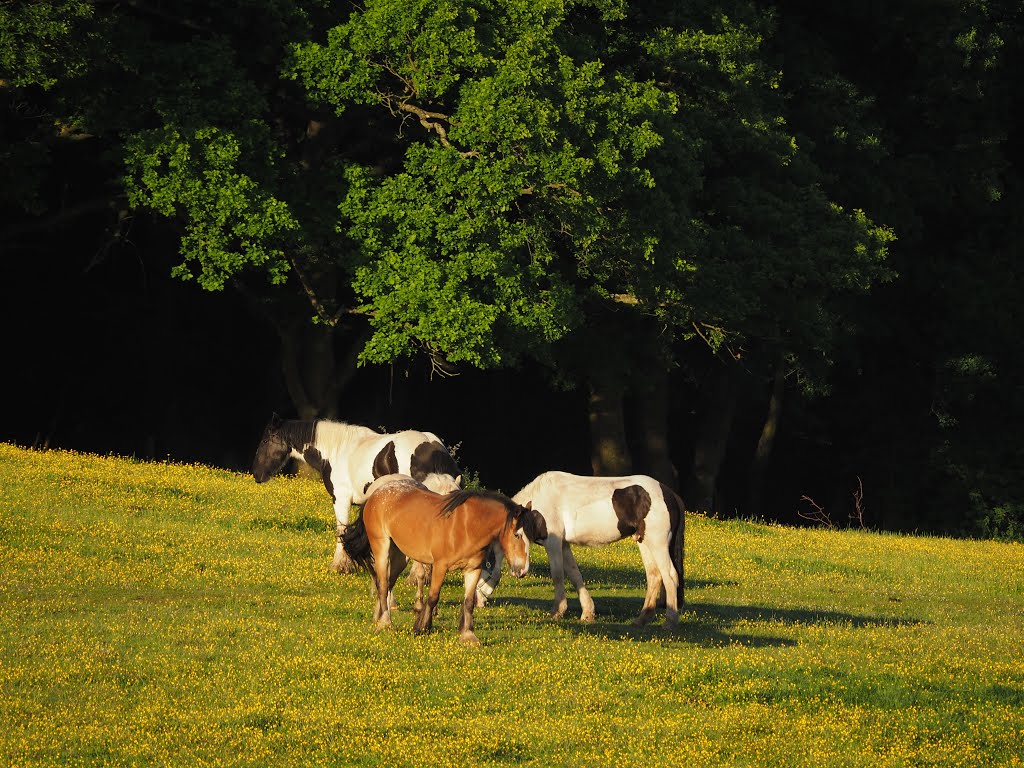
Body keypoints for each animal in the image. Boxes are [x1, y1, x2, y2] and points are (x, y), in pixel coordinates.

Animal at [249, 411, 462, 573]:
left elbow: (341, 530)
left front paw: (340, 566)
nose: (257, 474)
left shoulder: (341, 500)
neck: (336, 451)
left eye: (266, 440)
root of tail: (432, 448)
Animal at [342, 475, 552, 651]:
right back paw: (385, 623)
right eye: (517, 535)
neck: (467, 526)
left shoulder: (473, 570)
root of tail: (375, 495)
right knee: (384, 584)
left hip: (400, 556)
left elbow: (468, 602)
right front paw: (422, 627)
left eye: (531, 538)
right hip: (382, 548)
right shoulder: (439, 567)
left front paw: (468, 635)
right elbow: (433, 597)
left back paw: (378, 616)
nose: (522, 570)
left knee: (386, 582)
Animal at [475, 473, 684, 626]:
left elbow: (558, 575)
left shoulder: (553, 543)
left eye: (518, 535)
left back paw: (670, 621)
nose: (519, 571)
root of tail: (669, 493)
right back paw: (641, 620)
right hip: (645, 542)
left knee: (670, 576)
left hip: (657, 543)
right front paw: (587, 613)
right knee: (654, 576)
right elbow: (575, 576)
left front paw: (557, 611)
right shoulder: (564, 544)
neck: (536, 507)